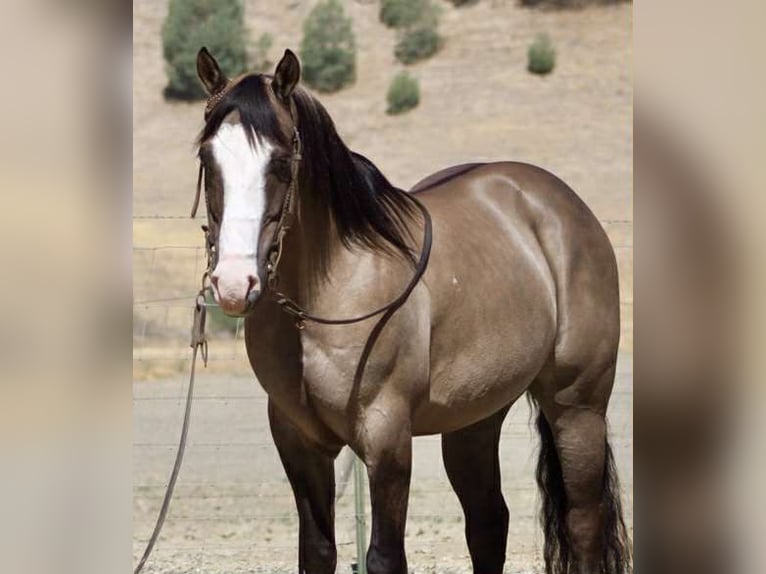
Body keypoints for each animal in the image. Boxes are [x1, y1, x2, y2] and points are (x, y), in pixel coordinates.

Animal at [193, 47, 631, 574]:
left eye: (280, 161)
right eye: (206, 157)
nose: (234, 283)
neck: (326, 293)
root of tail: (564, 208)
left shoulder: (387, 437)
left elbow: (385, 556)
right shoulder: (298, 440)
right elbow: (316, 551)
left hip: (577, 406)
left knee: (583, 521)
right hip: (475, 419)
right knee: (488, 521)